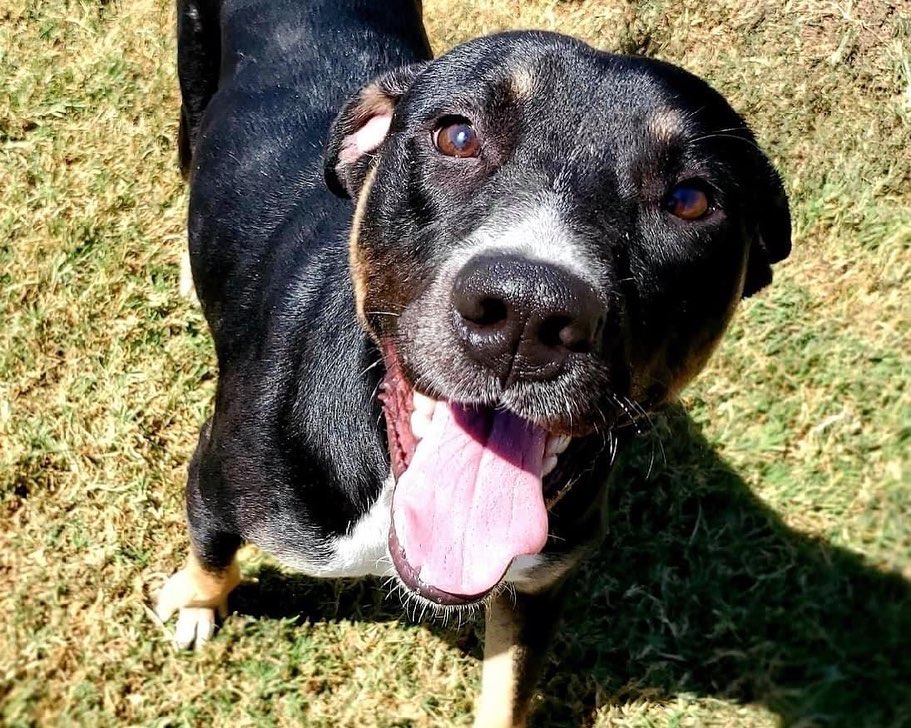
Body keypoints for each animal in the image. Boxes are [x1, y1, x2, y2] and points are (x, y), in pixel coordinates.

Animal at [153, 2, 788, 724]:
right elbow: (211, 547)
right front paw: (196, 601)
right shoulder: (217, 475)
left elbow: (508, 689)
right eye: (455, 136)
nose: (527, 313)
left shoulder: (538, 583)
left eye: (691, 199)